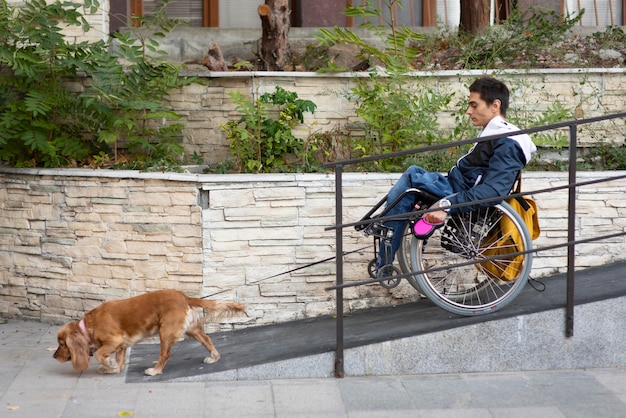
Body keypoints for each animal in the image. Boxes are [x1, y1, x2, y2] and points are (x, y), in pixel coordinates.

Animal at [52, 290, 245, 376]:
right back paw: (214, 357)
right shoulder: (123, 344)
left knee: (165, 354)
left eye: (62, 344)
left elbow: (100, 354)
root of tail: (183, 296)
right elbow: (119, 361)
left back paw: (155, 370)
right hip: (191, 330)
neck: (88, 326)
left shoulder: (115, 341)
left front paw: (109, 364)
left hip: (165, 331)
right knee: (207, 340)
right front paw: (113, 368)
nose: (54, 356)